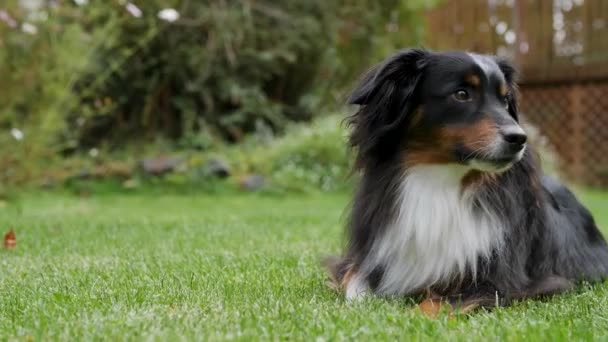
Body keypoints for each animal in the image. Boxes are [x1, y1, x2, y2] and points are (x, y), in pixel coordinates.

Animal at [328, 48, 608, 312]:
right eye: (461, 94)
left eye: (505, 100)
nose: (520, 138)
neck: (440, 182)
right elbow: (354, 282)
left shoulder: (506, 282)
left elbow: (433, 305)